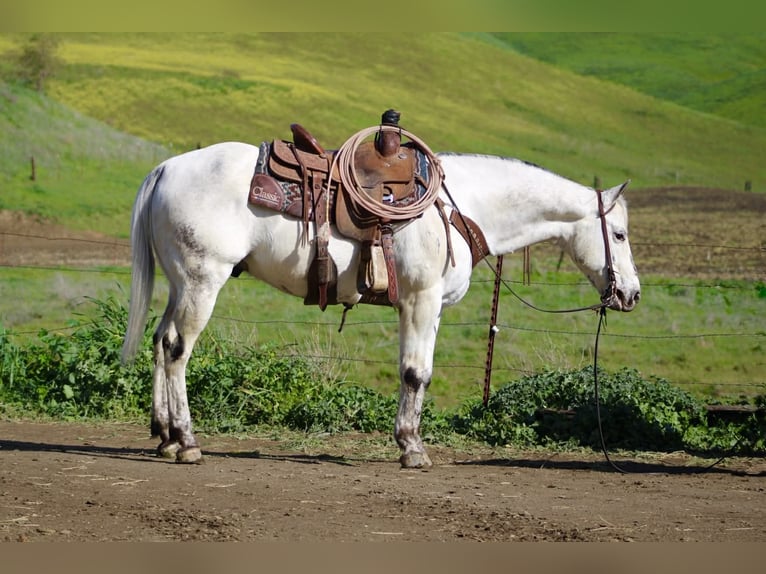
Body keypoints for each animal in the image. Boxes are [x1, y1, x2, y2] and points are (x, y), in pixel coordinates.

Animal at [121, 141, 640, 468]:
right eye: (618, 234)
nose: (631, 294)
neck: (459, 207)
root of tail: (168, 168)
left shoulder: (432, 309)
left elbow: (422, 373)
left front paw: (412, 442)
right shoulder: (419, 301)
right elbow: (414, 373)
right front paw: (411, 449)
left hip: (180, 284)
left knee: (160, 340)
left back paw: (164, 436)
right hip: (202, 282)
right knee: (178, 349)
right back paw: (187, 442)